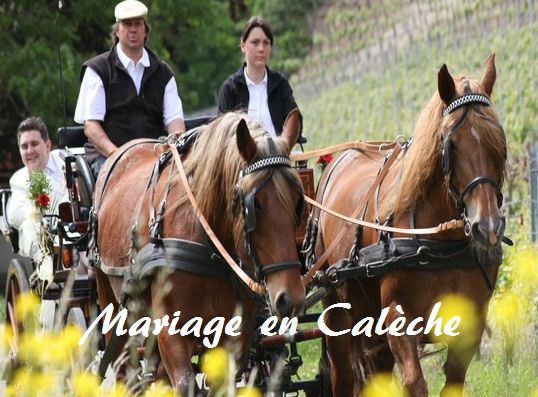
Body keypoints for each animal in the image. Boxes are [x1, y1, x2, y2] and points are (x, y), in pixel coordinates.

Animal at [90, 110, 304, 390]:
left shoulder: (233, 335)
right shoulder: (171, 328)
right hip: (112, 301)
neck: (208, 245)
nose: (291, 299)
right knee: (123, 369)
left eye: (299, 202)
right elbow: (184, 382)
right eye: (253, 205)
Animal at [312, 53, 504, 396]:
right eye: (452, 144)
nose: (488, 226)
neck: (441, 243)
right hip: (339, 315)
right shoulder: (398, 319)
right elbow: (415, 383)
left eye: (497, 139)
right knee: (343, 375)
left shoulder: (470, 324)